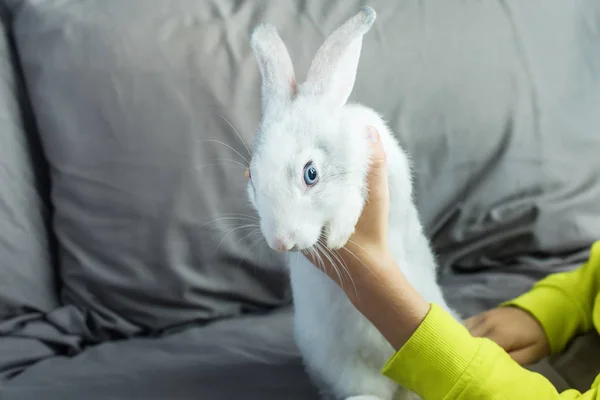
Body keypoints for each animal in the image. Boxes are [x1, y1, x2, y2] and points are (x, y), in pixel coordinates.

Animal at [246, 6, 462, 400]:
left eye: (311, 173)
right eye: (251, 177)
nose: (281, 243)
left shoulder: (380, 164)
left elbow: (355, 194)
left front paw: (339, 235)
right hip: (343, 367)